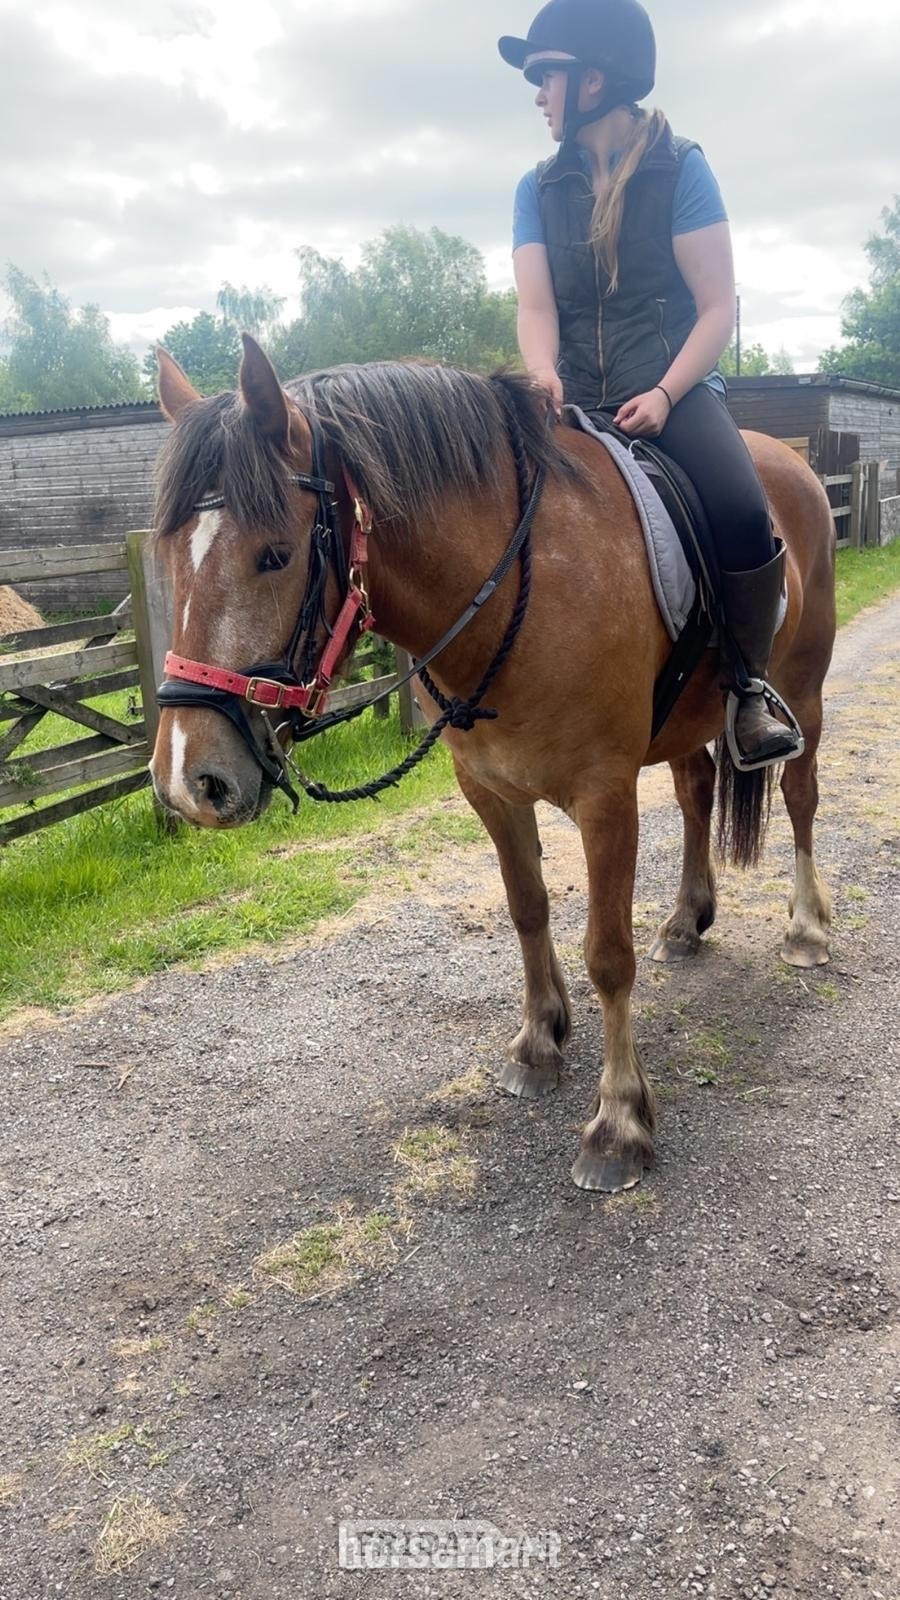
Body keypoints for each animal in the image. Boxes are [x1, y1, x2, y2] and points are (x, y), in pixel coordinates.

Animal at [149, 335, 835, 1193]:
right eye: (167, 555)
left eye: (274, 555)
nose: (190, 782)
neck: (515, 589)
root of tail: (792, 462)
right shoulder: (489, 791)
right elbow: (527, 908)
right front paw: (540, 1042)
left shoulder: (606, 798)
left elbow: (608, 954)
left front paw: (618, 1122)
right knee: (697, 792)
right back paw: (687, 920)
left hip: (804, 686)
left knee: (802, 796)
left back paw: (807, 927)